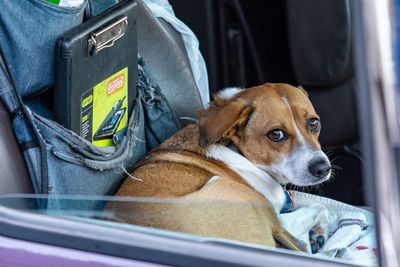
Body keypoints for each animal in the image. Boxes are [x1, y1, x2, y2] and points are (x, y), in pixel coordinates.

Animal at [108, 83, 332, 251]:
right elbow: (319, 207)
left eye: (314, 123)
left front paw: (318, 233)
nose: (323, 168)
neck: (236, 150)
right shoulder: (280, 220)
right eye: (276, 134)